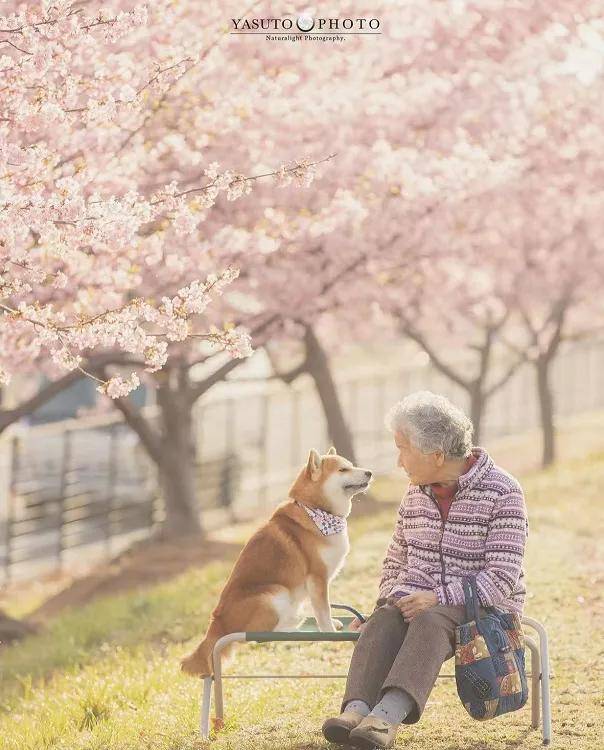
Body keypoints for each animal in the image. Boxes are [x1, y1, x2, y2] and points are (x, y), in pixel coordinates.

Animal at [179, 446, 372, 680]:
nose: (369, 472)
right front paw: (329, 630)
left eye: (351, 465)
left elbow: (322, 607)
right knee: (264, 632)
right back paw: (294, 624)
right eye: (343, 469)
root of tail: (217, 623)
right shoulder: (317, 577)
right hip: (275, 592)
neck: (317, 510)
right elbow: (323, 609)